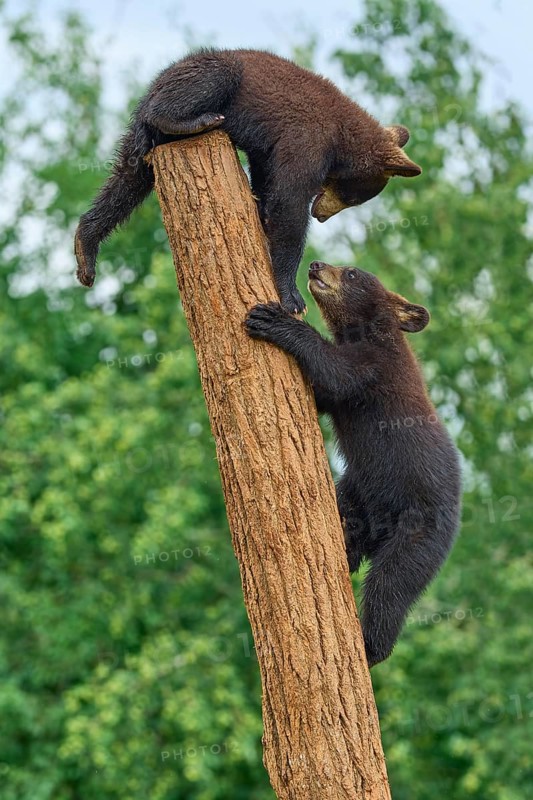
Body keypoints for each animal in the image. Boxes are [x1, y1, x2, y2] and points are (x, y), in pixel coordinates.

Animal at [74, 49, 421, 313]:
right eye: (351, 197)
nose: (321, 215)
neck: (341, 138)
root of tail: (152, 87)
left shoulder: (274, 148)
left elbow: (268, 178)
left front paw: (261, 208)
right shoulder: (308, 138)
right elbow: (289, 204)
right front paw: (293, 297)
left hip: (145, 146)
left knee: (125, 184)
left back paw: (85, 253)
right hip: (203, 77)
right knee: (205, 83)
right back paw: (196, 120)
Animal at [245, 262, 461, 667]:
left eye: (352, 274)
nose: (315, 265)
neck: (362, 331)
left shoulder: (377, 367)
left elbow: (336, 370)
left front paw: (271, 319)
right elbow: (322, 393)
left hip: (419, 531)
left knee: (390, 586)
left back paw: (370, 646)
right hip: (357, 491)